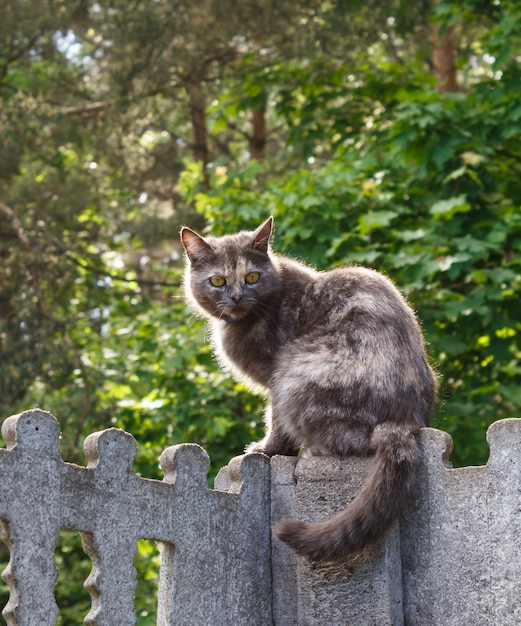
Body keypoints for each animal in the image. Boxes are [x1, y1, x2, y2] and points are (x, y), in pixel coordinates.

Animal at [179, 216, 434, 560]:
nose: (236, 296)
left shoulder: (275, 376)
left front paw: (267, 450)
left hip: (296, 375)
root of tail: (403, 423)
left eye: (251, 277)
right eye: (218, 281)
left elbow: (274, 420)